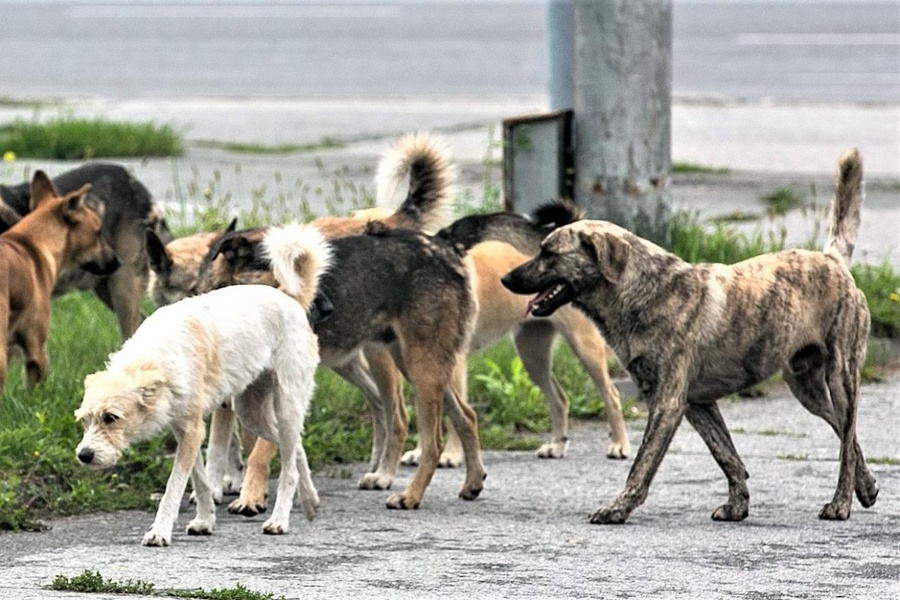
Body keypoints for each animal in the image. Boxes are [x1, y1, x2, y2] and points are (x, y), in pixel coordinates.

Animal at [73, 226, 326, 548]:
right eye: (85, 421)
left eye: (111, 418)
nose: (84, 456)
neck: (155, 358)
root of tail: (289, 297)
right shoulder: (184, 430)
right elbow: (201, 479)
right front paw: (205, 520)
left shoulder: (192, 431)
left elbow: (174, 486)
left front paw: (160, 531)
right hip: (252, 413)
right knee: (295, 450)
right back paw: (310, 501)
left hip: (286, 404)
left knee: (289, 468)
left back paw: (279, 520)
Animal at [506, 150, 880, 524]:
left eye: (548, 253)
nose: (505, 278)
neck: (645, 291)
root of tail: (832, 260)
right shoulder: (697, 404)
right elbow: (727, 456)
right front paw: (738, 505)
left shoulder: (667, 404)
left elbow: (642, 465)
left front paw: (618, 508)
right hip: (806, 389)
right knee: (847, 434)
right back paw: (866, 486)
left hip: (841, 378)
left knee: (846, 440)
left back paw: (840, 503)